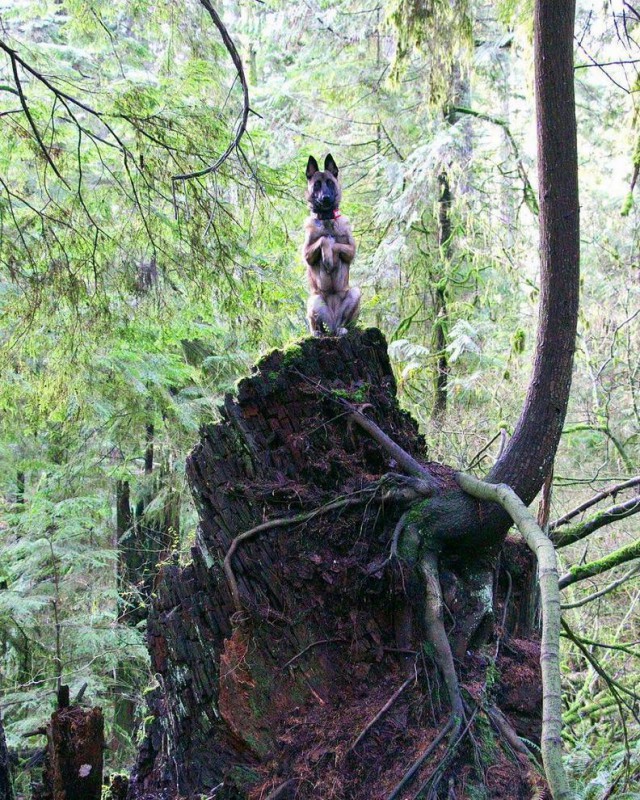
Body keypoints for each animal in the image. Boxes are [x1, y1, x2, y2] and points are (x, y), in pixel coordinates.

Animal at [304, 155, 362, 336]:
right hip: (314, 299)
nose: (326, 198)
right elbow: (323, 239)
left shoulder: (351, 251)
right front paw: (328, 255)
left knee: (344, 323)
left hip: (355, 293)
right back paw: (318, 333)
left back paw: (342, 328)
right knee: (317, 325)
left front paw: (330, 257)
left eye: (330, 182)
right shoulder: (306, 254)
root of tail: (333, 324)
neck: (327, 218)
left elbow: (336, 245)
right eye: (317, 184)